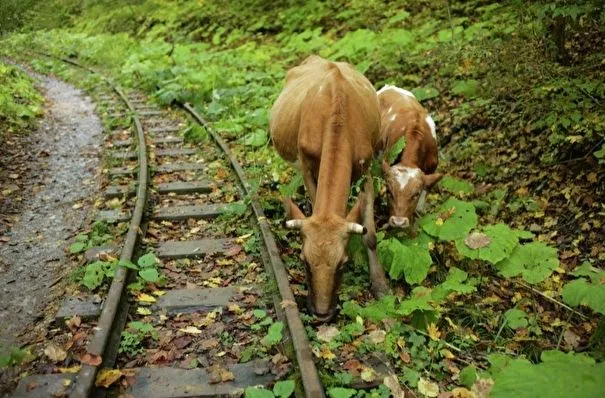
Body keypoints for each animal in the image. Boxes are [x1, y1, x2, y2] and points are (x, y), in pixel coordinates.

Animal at [268, 55, 386, 320]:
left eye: (343, 263)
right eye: (304, 261)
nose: (322, 313)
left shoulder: (366, 167)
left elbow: (370, 235)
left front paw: (380, 285)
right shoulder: (307, 165)